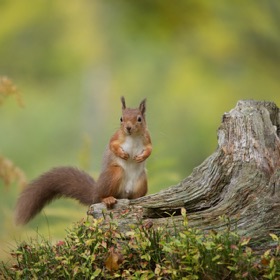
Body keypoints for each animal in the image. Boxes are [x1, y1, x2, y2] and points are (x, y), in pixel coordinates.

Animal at [14, 97, 152, 224]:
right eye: (121, 119)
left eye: (139, 119)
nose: (128, 128)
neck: (133, 137)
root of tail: (94, 192)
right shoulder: (116, 137)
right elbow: (112, 145)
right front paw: (122, 154)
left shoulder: (148, 139)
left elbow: (150, 149)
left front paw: (141, 157)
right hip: (114, 173)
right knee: (102, 195)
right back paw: (107, 198)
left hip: (142, 180)